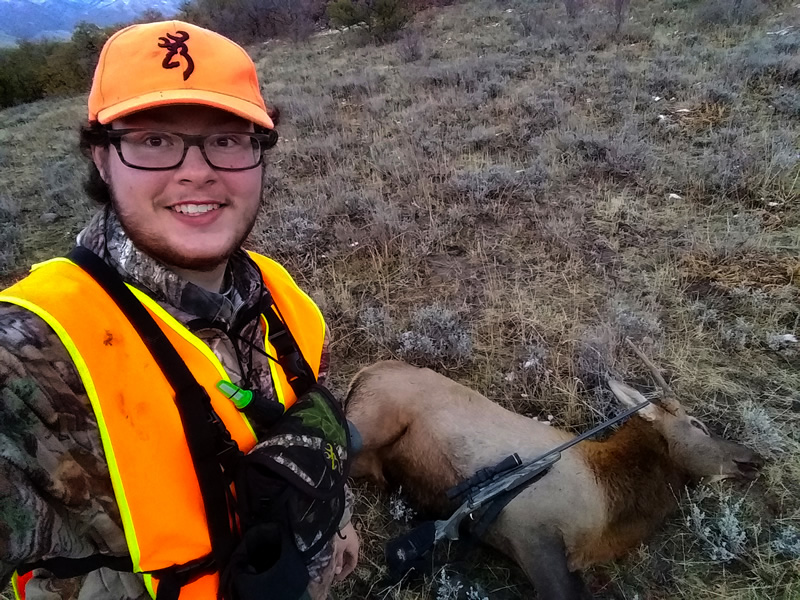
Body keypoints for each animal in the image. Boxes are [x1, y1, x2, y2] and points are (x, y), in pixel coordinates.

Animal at [346, 344, 764, 596]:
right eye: (698, 425)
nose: (753, 458)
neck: (610, 506)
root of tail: (363, 372)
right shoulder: (532, 534)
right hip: (368, 424)